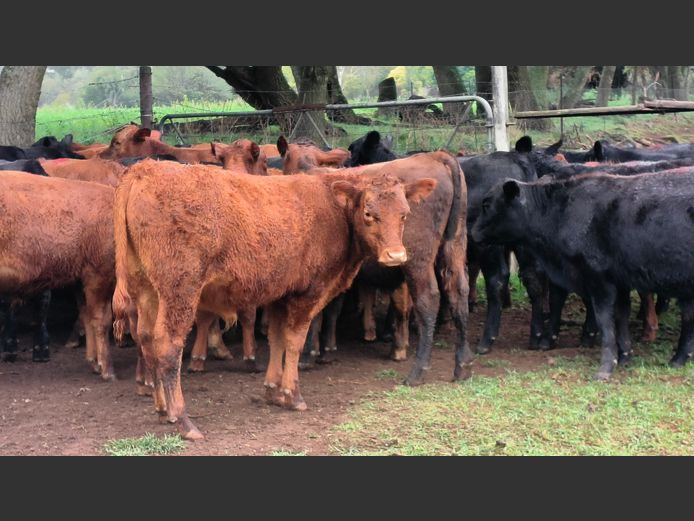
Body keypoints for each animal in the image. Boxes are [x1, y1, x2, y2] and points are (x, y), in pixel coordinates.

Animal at [0, 171, 115, 378]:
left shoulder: (80, 277)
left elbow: (86, 315)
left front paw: (94, 364)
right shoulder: (99, 271)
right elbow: (102, 319)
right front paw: (108, 372)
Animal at [111, 159, 438, 438]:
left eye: (405, 213)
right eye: (369, 213)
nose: (396, 256)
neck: (333, 207)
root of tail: (145, 169)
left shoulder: (281, 294)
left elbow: (277, 338)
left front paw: (273, 390)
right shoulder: (308, 293)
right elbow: (294, 342)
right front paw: (293, 395)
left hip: (147, 291)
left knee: (147, 339)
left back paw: (162, 410)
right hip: (180, 291)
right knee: (168, 346)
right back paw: (183, 419)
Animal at [474, 171, 694, 378]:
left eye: (486, 204)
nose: (472, 232)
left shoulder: (599, 280)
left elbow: (604, 322)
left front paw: (606, 368)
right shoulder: (620, 281)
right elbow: (620, 318)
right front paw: (624, 357)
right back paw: (678, 359)